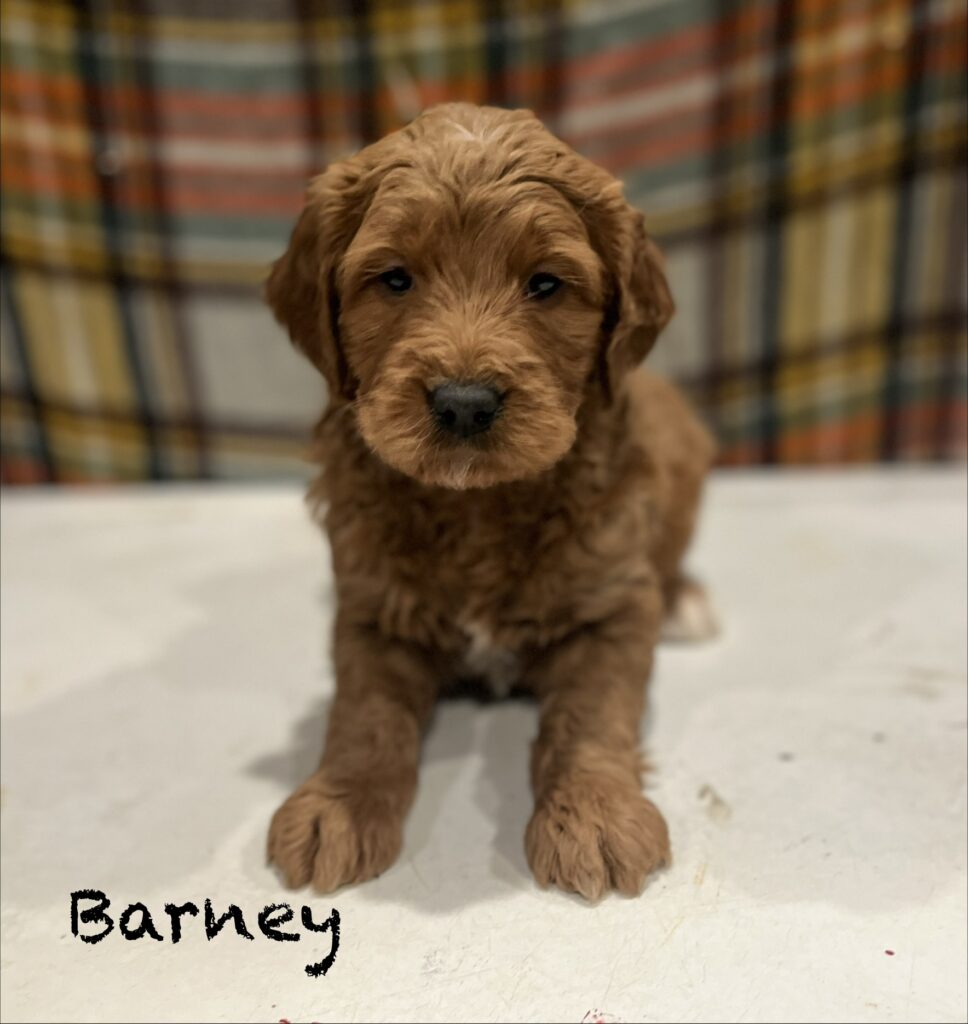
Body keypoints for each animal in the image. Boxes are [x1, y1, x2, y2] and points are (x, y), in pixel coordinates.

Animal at [264, 103, 716, 901]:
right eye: (395, 279)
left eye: (544, 284)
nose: (465, 404)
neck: (476, 506)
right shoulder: (372, 611)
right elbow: (363, 714)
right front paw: (336, 810)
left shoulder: (611, 605)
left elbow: (593, 713)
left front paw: (596, 815)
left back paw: (686, 600)